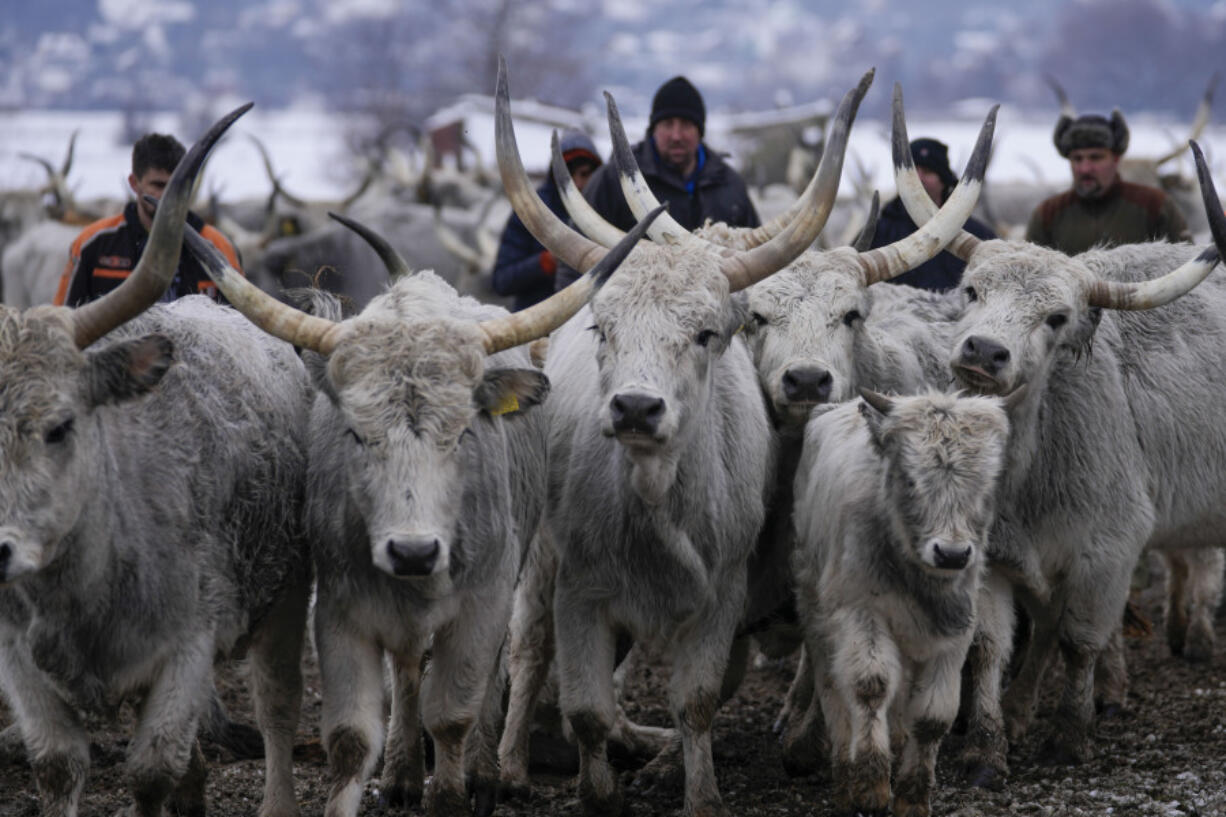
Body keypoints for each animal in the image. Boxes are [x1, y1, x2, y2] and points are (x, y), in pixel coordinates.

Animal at [0, 106, 311, 814]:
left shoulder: (187, 647)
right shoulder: (19, 662)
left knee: (277, 708)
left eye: (60, 426)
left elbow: (150, 771)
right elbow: (58, 767)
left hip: (287, 596)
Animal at [892, 111, 1226, 775]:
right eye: (973, 291)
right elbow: (989, 646)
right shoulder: (989, 558)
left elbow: (1081, 641)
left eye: (1056, 318)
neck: (1030, 469)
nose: (984, 351)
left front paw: (1071, 735)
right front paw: (986, 749)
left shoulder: (1109, 555)